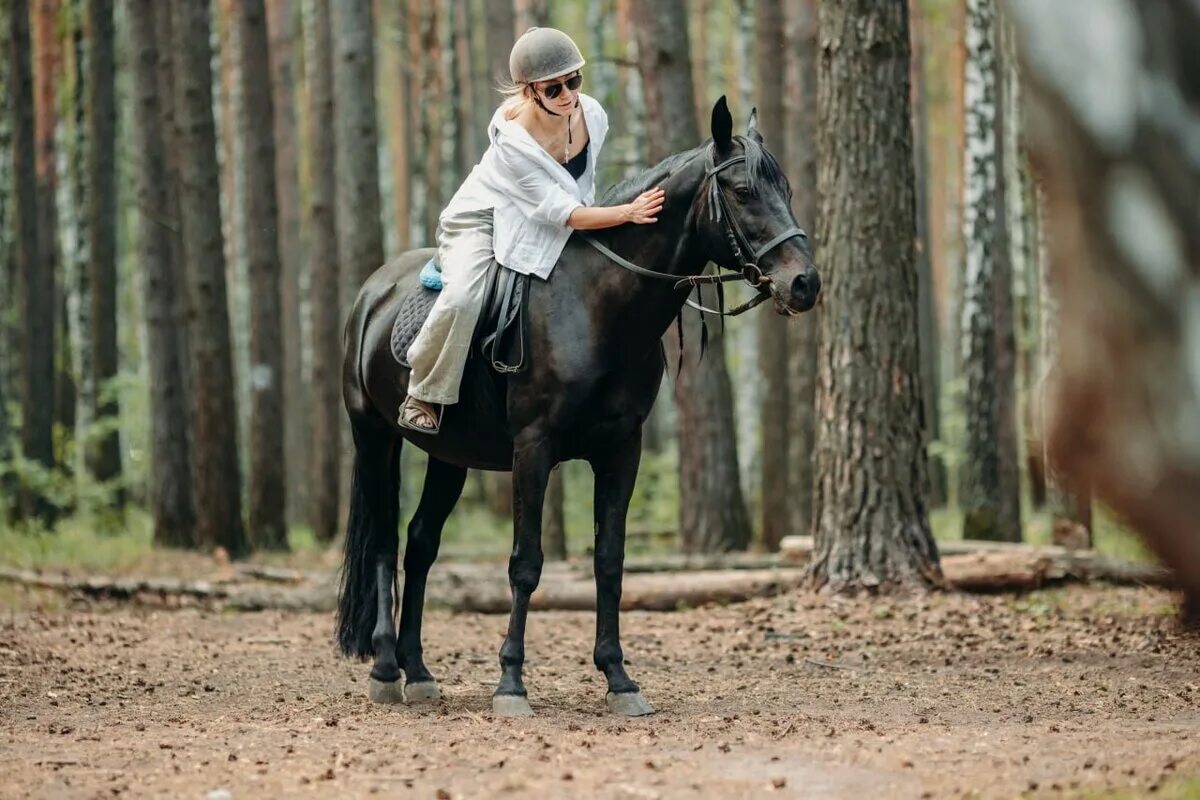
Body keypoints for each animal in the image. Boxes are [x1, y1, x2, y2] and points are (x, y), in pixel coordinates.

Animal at [343, 97, 820, 714]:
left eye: (785, 188)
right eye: (742, 191)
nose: (805, 283)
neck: (597, 307)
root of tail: (371, 292)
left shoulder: (621, 450)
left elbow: (609, 562)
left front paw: (619, 678)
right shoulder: (533, 449)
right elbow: (525, 564)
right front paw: (511, 683)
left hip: (448, 455)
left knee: (421, 544)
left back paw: (419, 671)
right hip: (374, 436)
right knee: (382, 543)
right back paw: (384, 670)